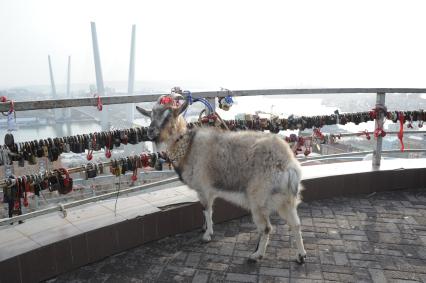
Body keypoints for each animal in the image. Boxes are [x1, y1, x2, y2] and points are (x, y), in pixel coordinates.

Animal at [136, 96, 306, 264]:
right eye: (151, 115)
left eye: (169, 116)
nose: (150, 131)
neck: (188, 148)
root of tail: (289, 165)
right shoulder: (210, 190)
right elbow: (210, 211)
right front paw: (205, 228)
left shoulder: (203, 188)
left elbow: (206, 210)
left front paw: (207, 235)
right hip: (286, 199)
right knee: (296, 224)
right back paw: (301, 256)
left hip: (259, 198)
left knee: (266, 228)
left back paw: (257, 255)